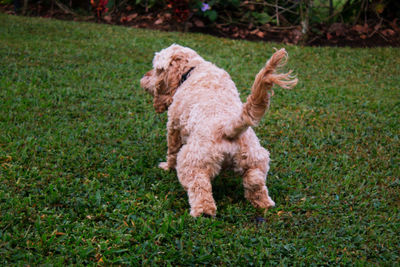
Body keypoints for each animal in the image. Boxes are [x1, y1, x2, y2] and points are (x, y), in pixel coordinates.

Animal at [141, 44, 296, 218]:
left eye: (156, 70)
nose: (144, 77)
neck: (192, 69)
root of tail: (227, 127)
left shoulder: (173, 125)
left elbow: (171, 151)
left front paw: (166, 167)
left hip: (193, 163)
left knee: (200, 190)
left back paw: (202, 213)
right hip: (255, 161)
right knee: (256, 185)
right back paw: (264, 205)